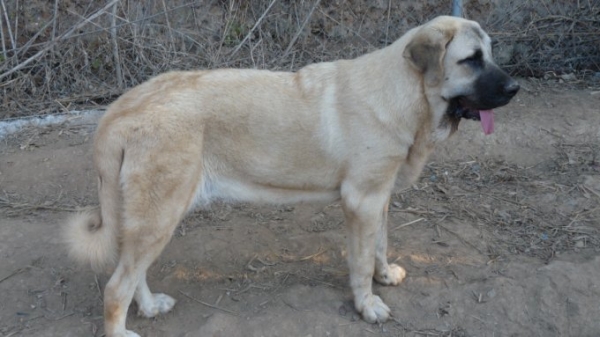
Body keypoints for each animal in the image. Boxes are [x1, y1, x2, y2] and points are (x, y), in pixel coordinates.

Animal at [64, 16, 516, 336]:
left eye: (490, 54)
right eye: (471, 59)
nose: (515, 89)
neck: (406, 92)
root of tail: (121, 109)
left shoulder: (380, 198)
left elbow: (381, 246)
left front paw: (384, 276)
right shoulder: (361, 202)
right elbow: (359, 263)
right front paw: (367, 305)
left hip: (150, 218)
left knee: (131, 274)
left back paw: (149, 306)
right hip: (160, 216)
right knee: (116, 287)